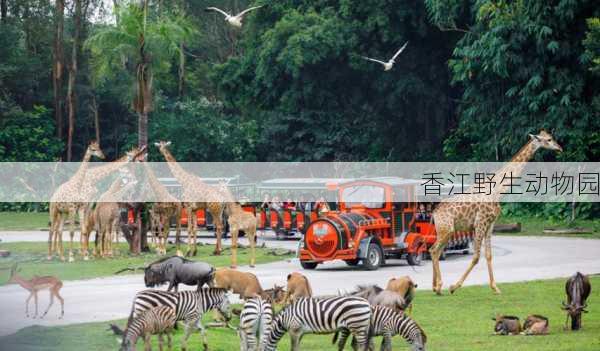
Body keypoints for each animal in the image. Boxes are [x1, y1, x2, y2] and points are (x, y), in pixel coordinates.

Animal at [432, 131, 564, 296]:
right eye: (549, 139)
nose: (560, 148)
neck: (498, 190)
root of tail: (434, 213)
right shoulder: (480, 223)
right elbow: (476, 257)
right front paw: (454, 287)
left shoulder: (490, 224)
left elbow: (488, 255)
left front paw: (495, 287)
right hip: (446, 229)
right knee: (434, 250)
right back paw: (439, 287)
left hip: (446, 231)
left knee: (434, 251)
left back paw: (436, 287)